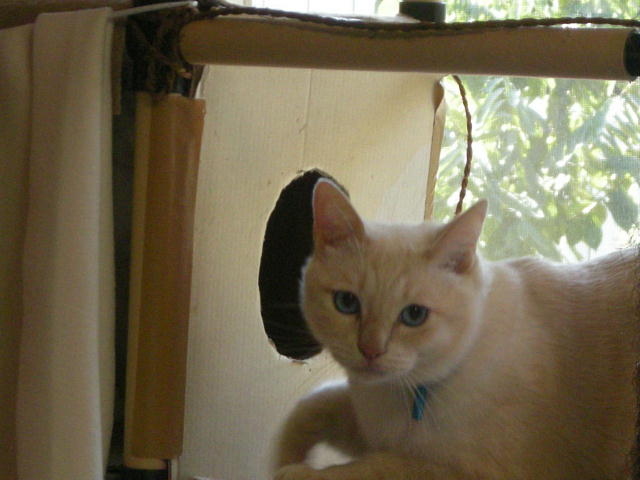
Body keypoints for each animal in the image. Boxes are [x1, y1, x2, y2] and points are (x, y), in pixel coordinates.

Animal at [272, 179, 638, 480]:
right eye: (346, 303)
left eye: (414, 315)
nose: (370, 350)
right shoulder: (371, 429)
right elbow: (312, 405)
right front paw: (284, 454)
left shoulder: (463, 470)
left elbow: (373, 468)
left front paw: (297, 473)